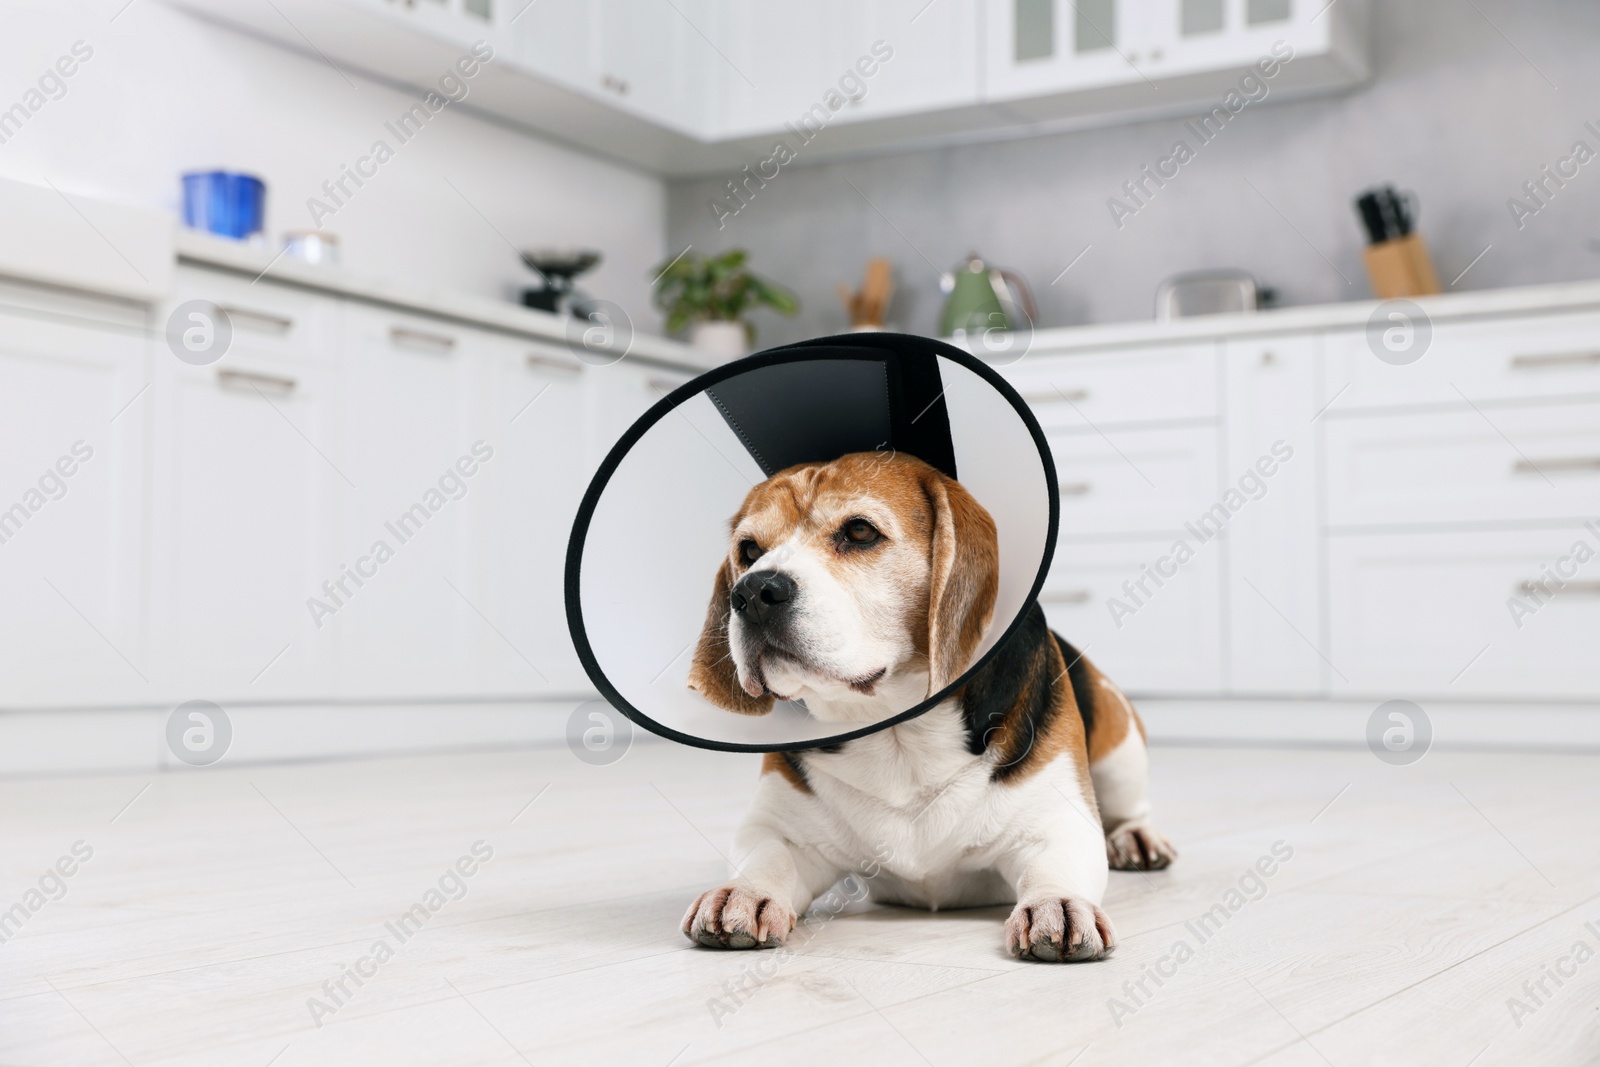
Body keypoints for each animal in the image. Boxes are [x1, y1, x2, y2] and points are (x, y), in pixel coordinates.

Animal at [678, 447, 1177, 966]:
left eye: (860, 531)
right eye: (749, 551)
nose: (752, 593)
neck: (897, 733)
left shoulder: (1058, 823)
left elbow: (1056, 865)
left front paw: (1056, 904)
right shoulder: (778, 827)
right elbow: (766, 856)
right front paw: (744, 893)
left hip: (1121, 749)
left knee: (1130, 807)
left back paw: (1137, 838)